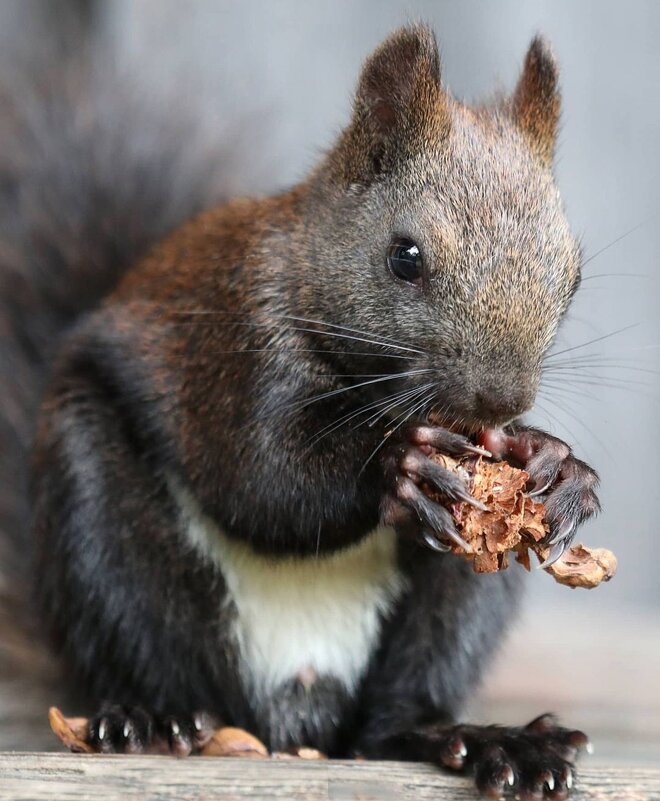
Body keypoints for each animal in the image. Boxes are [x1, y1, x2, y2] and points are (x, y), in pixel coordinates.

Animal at [0, 25, 600, 800]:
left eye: (574, 275)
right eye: (405, 256)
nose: (501, 398)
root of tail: (295, 708)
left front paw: (561, 467)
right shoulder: (234, 352)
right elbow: (263, 483)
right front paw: (401, 468)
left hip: (450, 610)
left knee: (393, 720)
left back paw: (480, 740)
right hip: (101, 530)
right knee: (158, 654)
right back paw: (151, 720)